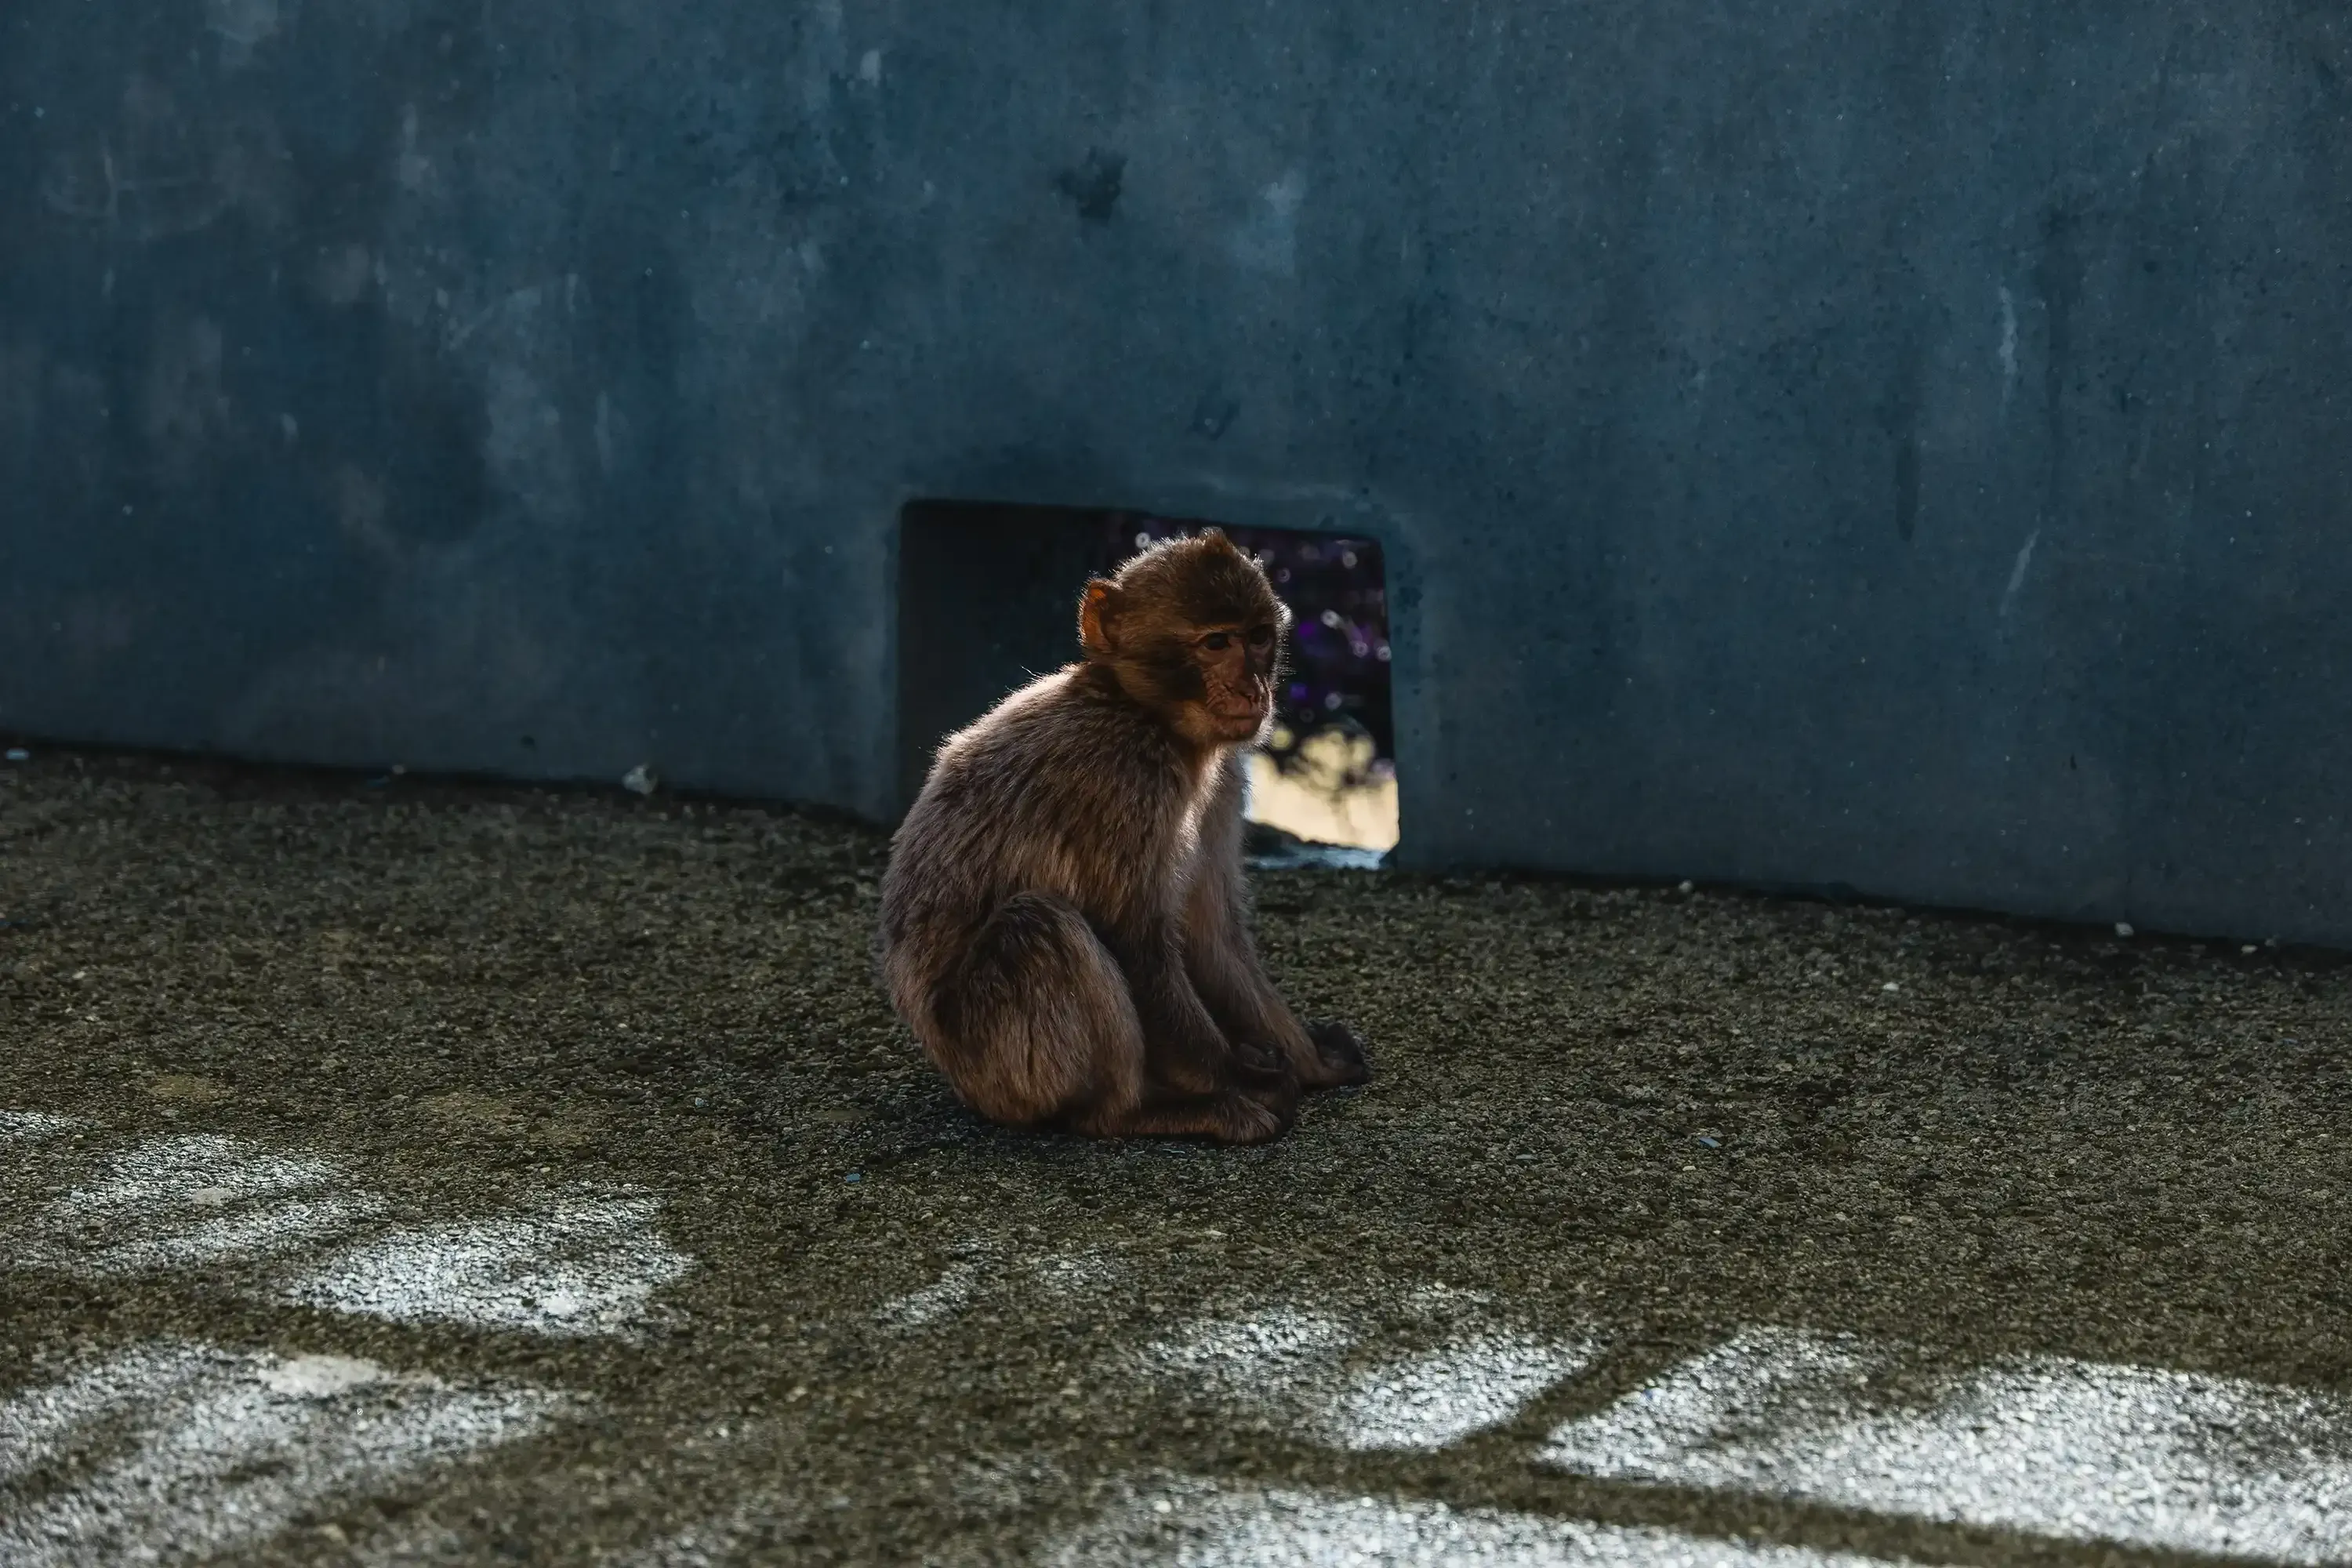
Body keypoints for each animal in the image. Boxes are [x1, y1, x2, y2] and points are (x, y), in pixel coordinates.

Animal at [879, 529, 1371, 1144]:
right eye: (1215, 643)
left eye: (1258, 637)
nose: (1252, 688)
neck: (1143, 711)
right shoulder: (1127, 775)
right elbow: (1137, 941)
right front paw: (1243, 1081)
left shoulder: (1221, 778)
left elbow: (1211, 936)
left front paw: (1310, 1063)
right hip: (994, 1065)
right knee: (1038, 925)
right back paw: (1135, 1112)